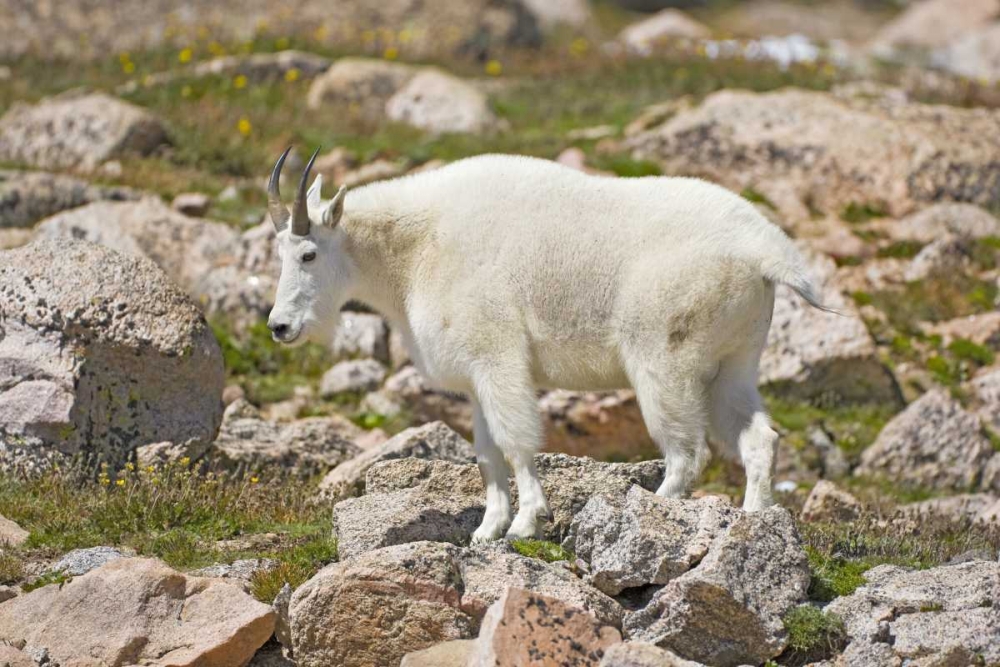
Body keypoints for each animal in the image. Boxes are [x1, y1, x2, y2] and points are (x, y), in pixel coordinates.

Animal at [266, 149, 826, 541]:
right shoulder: (476, 377)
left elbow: (516, 442)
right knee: (758, 438)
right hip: (734, 362)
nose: (279, 326)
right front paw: (487, 529)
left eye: (309, 253)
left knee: (687, 451)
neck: (414, 248)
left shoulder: (498, 357)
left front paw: (525, 523)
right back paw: (754, 520)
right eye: (278, 252)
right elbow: (486, 453)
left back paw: (649, 508)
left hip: (665, 361)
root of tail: (766, 251)